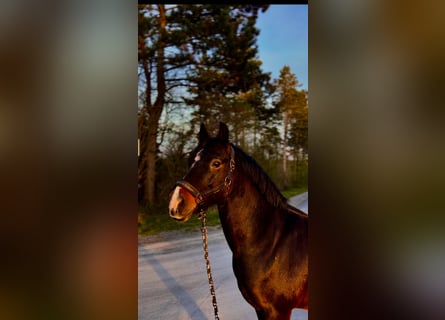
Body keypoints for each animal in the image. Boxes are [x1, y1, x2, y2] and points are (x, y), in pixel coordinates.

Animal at [168, 123, 306, 320]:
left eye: (216, 163)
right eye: (190, 159)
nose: (176, 203)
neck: (271, 244)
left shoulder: (278, 311)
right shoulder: (261, 309)